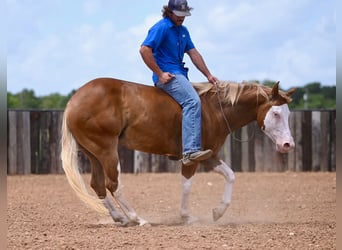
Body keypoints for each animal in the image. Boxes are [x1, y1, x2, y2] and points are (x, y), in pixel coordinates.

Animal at [60, 77, 296, 226]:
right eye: (276, 113)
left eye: (287, 114)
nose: (288, 145)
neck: (214, 110)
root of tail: (73, 101)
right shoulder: (192, 158)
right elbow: (187, 185)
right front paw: (186, 217)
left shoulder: (209, 155)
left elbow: (230, 175)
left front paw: (218, 212)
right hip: (107, 150)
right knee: (113, 184)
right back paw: (137, 219)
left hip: (94, 153)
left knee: (98, 185)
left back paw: (120, 218)